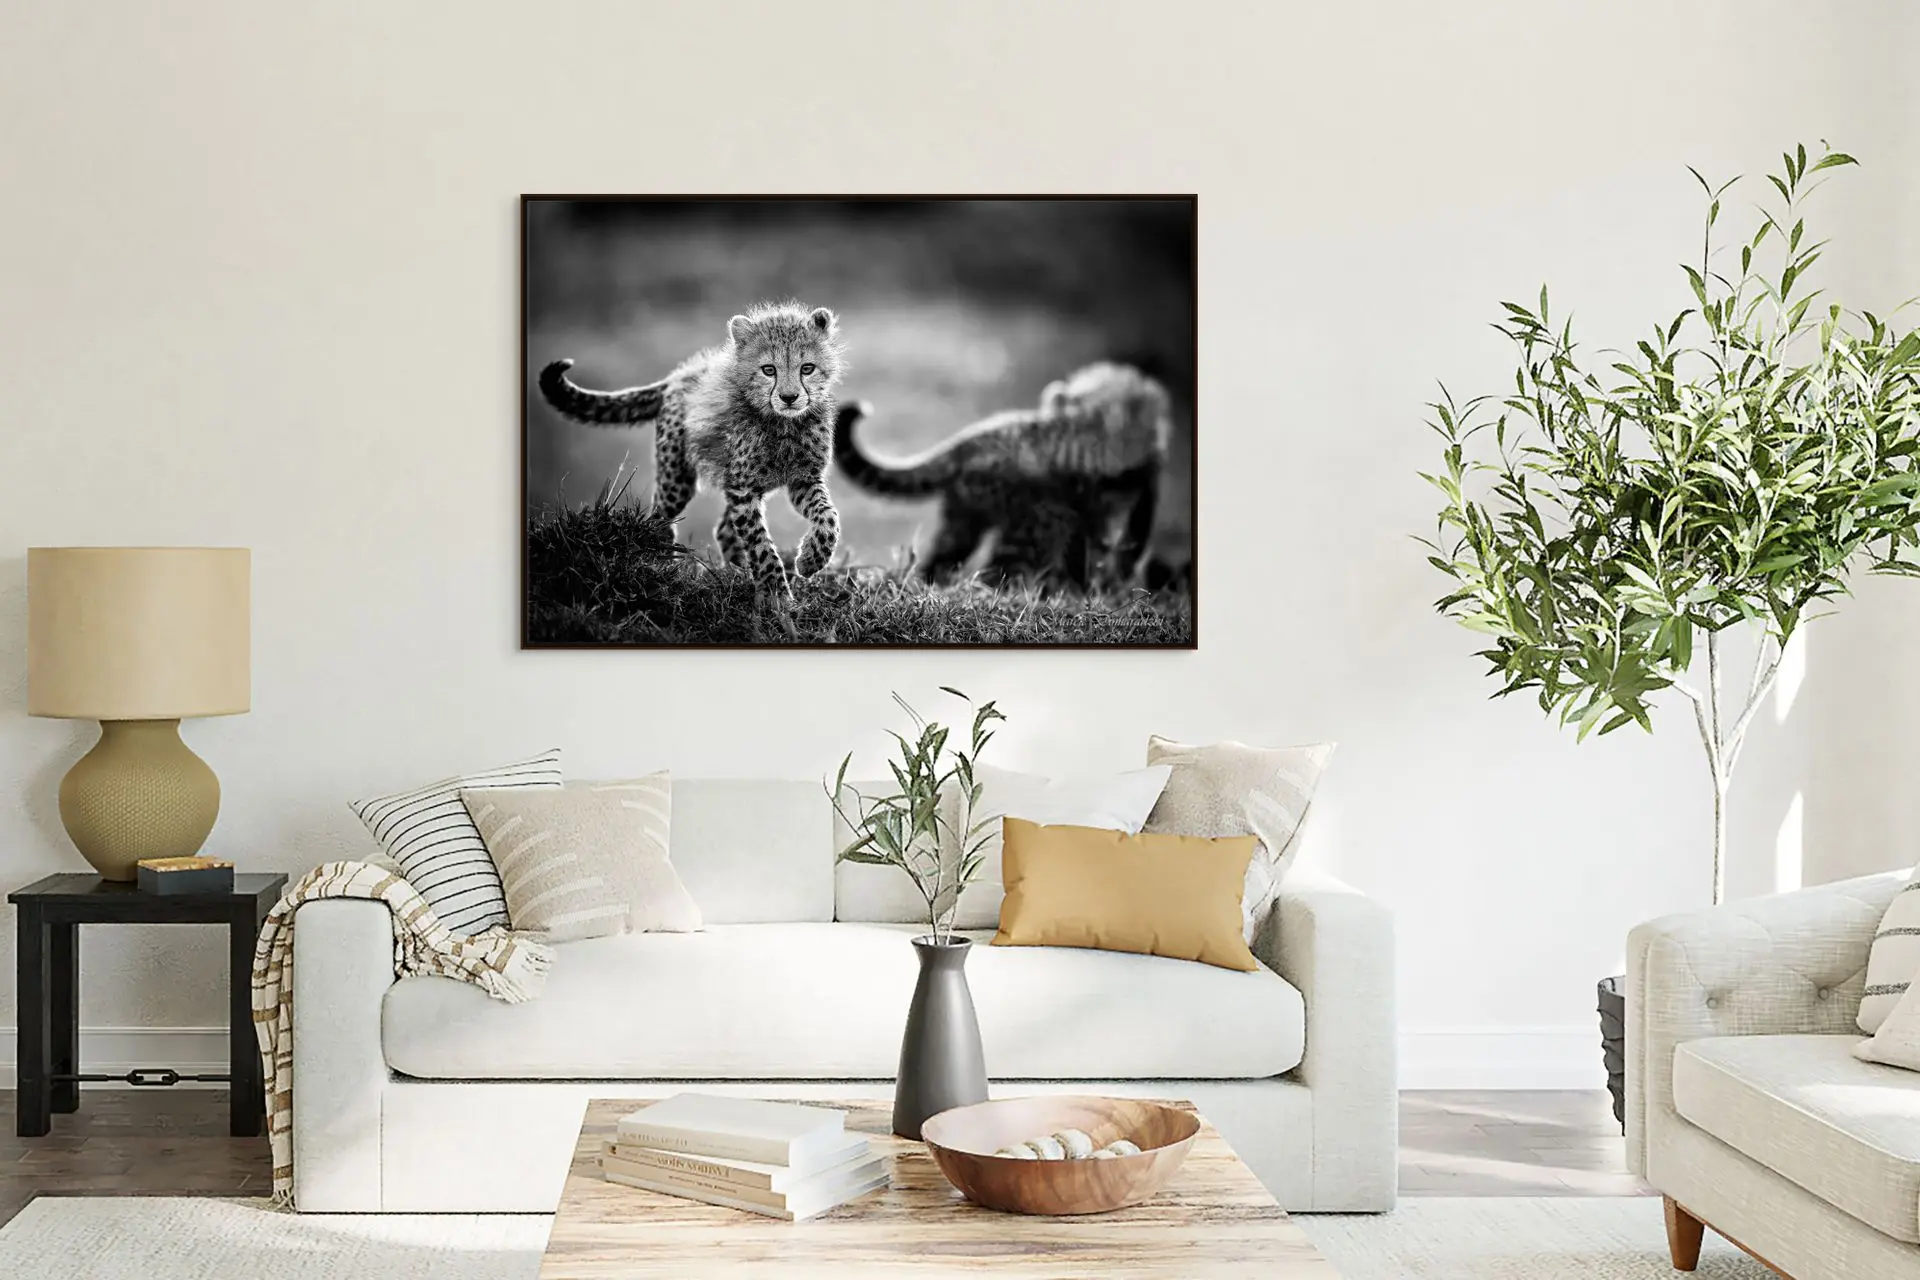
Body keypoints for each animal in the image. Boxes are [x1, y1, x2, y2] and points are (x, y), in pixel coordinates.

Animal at [538, 301, 844, 605]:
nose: (789, 398)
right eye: (769, 370)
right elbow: (760, 545)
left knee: (723, 529)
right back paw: (662, 566)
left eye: (807, 368)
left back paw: (737, 574)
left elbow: (828, 516)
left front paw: (810, 561)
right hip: (678, 480)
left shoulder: (802, 479)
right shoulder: (744, 488)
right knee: (660, 517)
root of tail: (680, 374)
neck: (784, 424)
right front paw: (776, 595)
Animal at [833, 362, 1171, 590]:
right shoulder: (1124, 499)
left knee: (941, 558)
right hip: (1037, 525)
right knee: (1000, 571)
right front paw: (1096, 588)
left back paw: (929, 587)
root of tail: (969, 442)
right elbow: (1117, 546)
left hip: (965, 517)